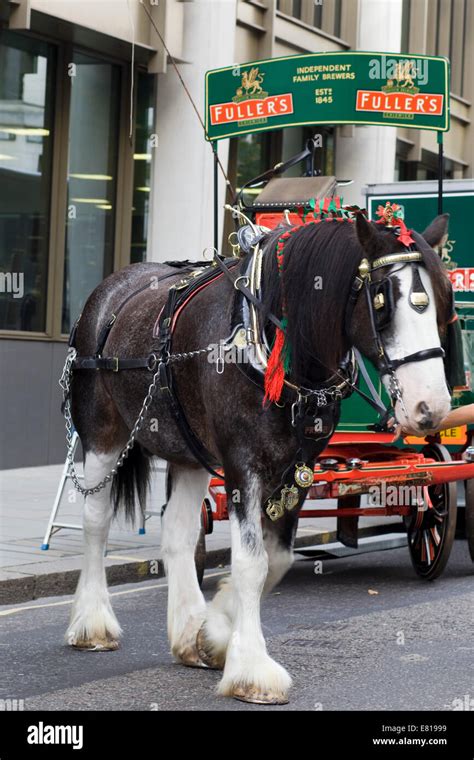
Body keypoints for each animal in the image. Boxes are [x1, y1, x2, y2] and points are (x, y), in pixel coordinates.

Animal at [64, 211, 452, 704]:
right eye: (382, 301)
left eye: (440, 303)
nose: (432, 408)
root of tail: (111, 288)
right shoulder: (241, 464)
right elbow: (252, 563)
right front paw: (251, 670)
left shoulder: (299, 466)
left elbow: (277, 558)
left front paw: (213, 635)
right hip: (102, 434)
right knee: (95, 523)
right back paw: (93, 622)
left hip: (187, 450)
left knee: (177, 531)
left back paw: (187, 632)